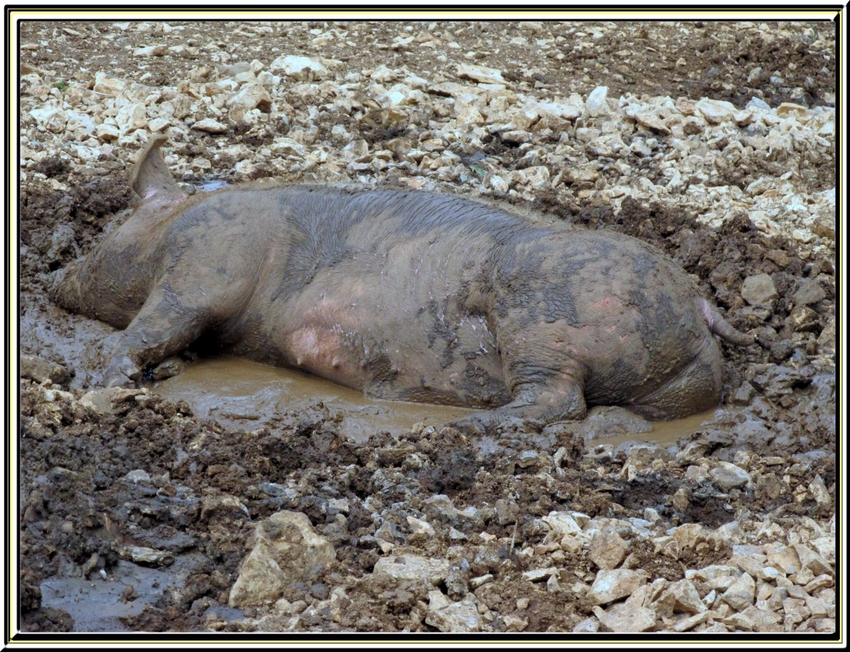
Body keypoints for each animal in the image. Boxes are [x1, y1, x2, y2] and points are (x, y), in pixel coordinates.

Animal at [53, 134, 752, 432]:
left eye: (105, 233)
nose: (55, 274)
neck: (170, 225)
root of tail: (696, 305)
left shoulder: (206, 262)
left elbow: (158, 321)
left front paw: (95, 379)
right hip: (670, 375)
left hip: (541, 317)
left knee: (558, 399)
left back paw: (473, 425)